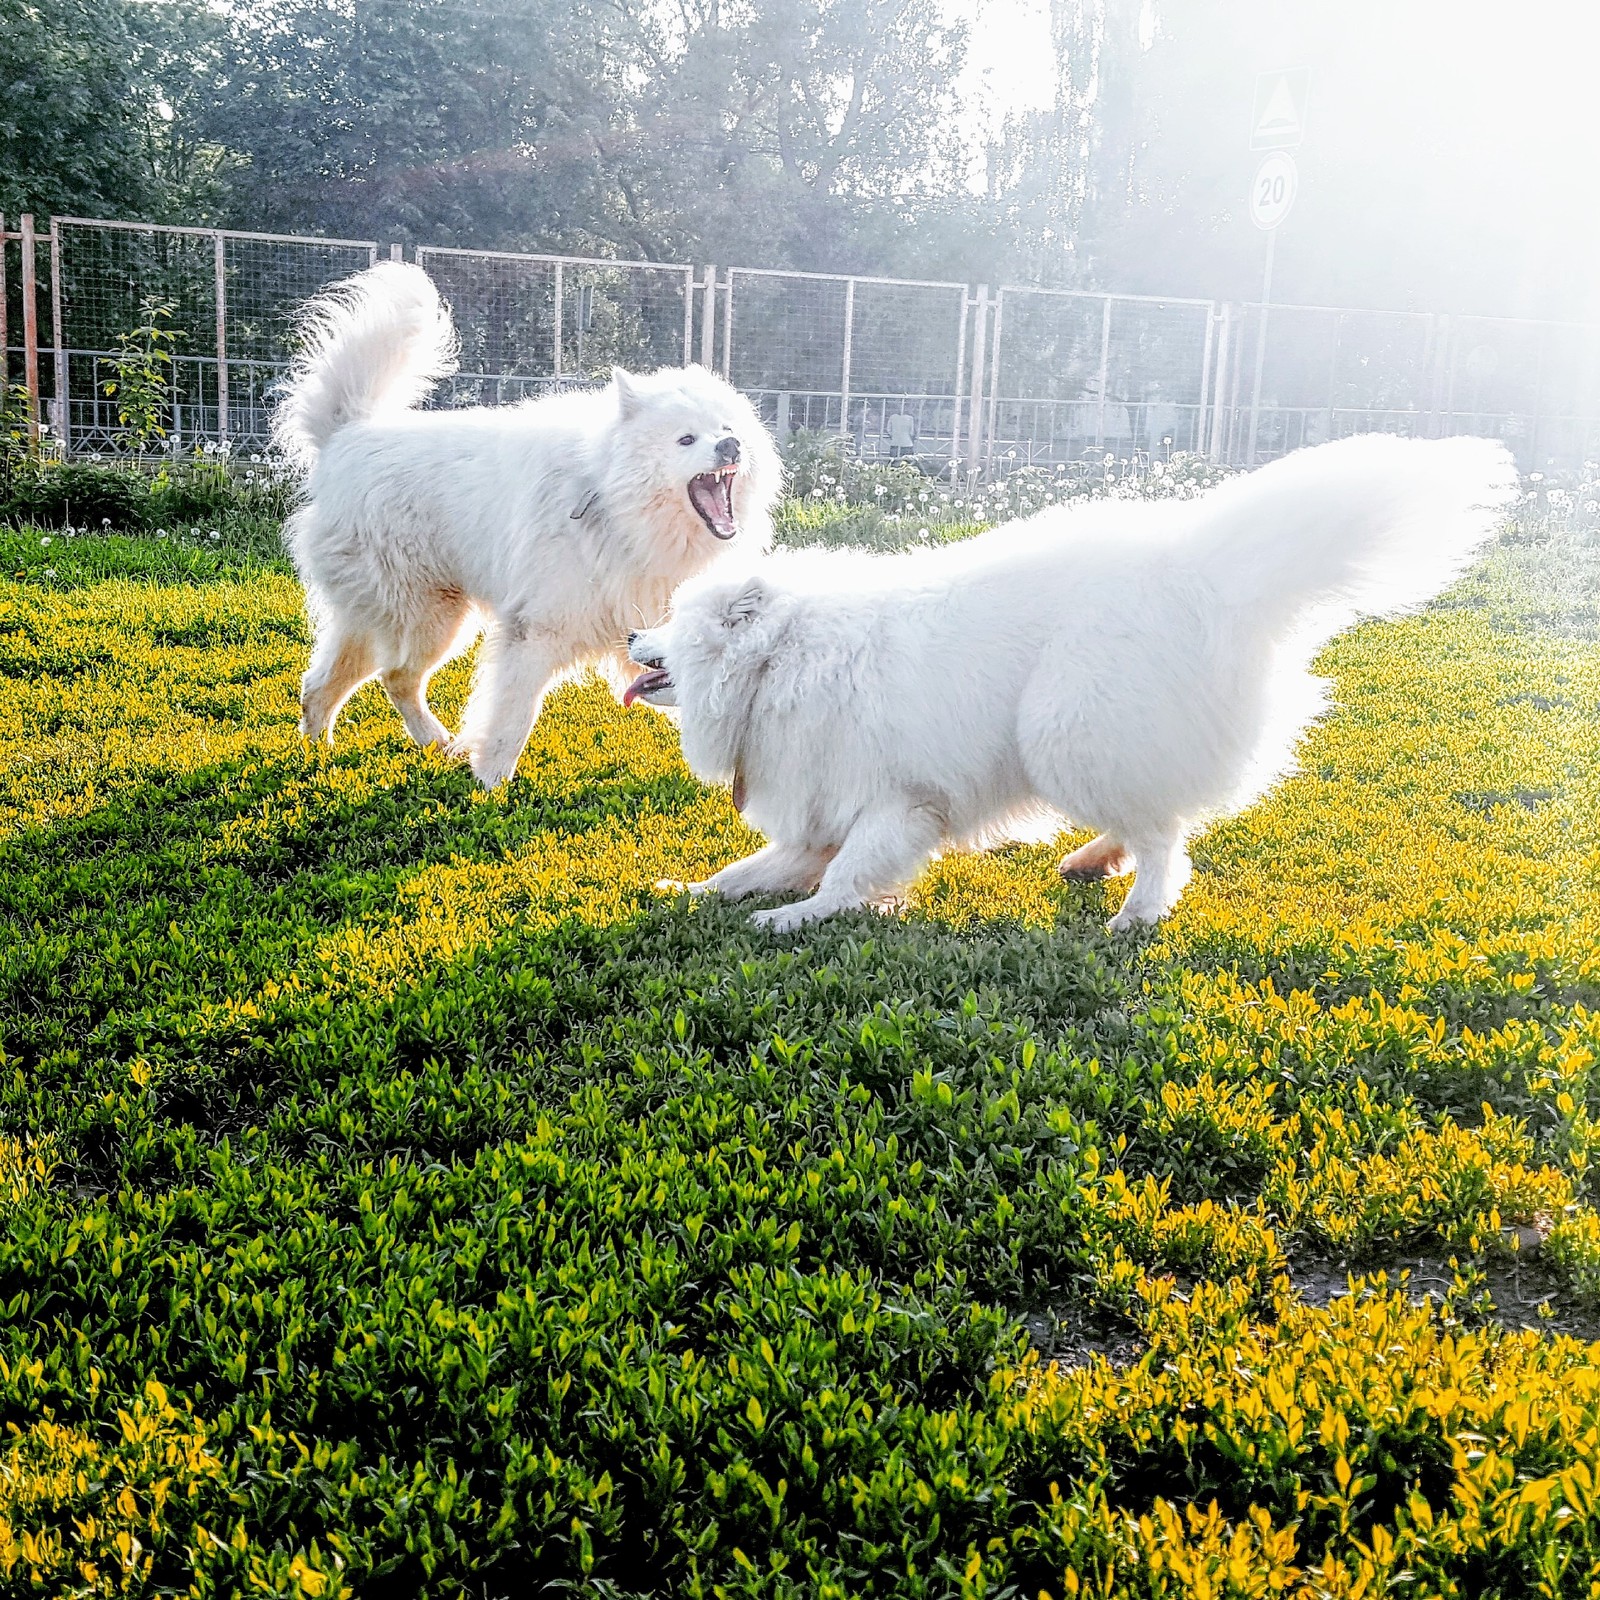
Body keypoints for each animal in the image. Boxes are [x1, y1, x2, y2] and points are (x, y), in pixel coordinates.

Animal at [273, 262, 780, 787]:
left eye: (727, 429)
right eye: (685, 439)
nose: (731, 447)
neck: (616, 506)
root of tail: (344, 436)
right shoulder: (535, 631)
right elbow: (511, 719)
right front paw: (491, 784)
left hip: (385, 616)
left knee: (322, 683)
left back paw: (320, 754)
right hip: (426, 614)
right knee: (394, 678)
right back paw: (430, 743)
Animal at [620, 438, 1510, 934]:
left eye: (669, 619)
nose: (630, 637)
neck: (780, 660)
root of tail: (1201, 569)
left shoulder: (898, 806)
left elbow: (842, 882)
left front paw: (792, 920)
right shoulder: (818, 813)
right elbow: (744, 871)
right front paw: (687, 889)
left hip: (1064, 730)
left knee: (1165, 839)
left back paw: (1138, 910)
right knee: (1147, 817)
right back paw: (1093, 859)